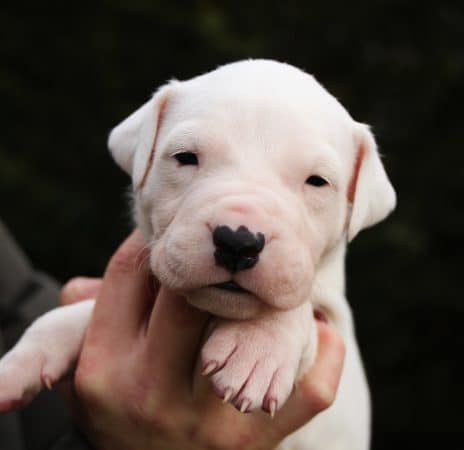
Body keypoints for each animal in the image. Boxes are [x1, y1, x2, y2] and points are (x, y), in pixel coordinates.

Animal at [0, 60, 396, 450]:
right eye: (186, 158)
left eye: (317, 181)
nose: (238, 241)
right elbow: (75, 315)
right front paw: (20, 364)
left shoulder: (335, 321)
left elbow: (298, 311)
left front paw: (257, 344)